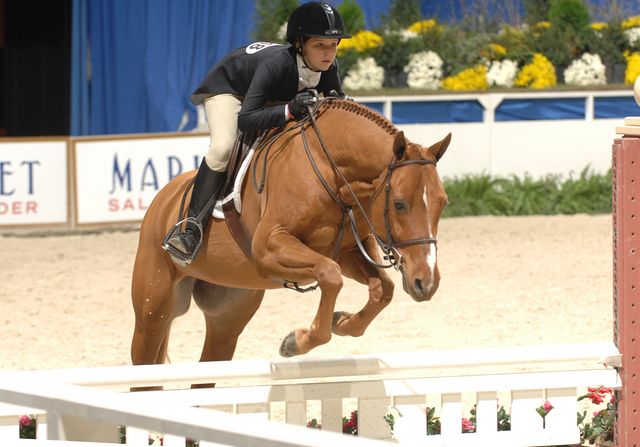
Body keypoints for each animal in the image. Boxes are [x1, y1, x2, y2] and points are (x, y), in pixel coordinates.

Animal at [130, 100, 450, 370]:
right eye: (399, 204)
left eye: (443, 203)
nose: (427, 283)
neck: (330, 169)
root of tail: (164, 198)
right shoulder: (269, 247)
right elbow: (330, 276)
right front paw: (297, 341)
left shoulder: (346, 252)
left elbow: (382, 289)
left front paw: (342, 322)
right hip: (153, 310)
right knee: (145, 363)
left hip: (228, 313)